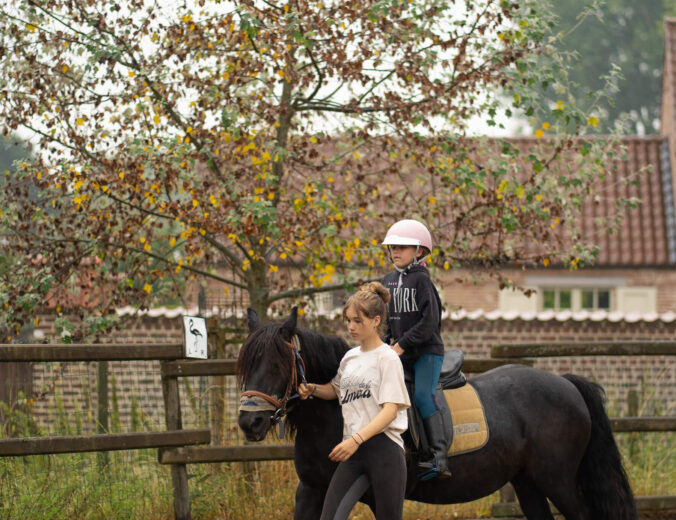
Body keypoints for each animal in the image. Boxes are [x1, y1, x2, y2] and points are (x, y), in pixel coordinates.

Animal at [238, 308, 640, 520]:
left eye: (278, 364)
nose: (249, 422)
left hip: (557, 480)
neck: (337, 416)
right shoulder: (311, 490)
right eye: (246, 363)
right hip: (528, 482)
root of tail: (567, 384)